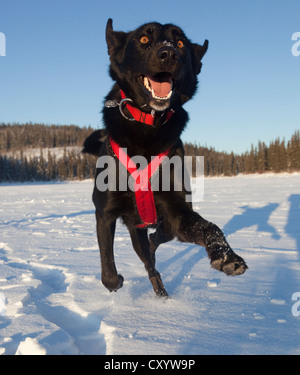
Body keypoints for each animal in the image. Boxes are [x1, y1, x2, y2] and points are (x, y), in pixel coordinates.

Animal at [83, 19, 247, 296]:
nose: (168, 53)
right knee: (149, 260)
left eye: (180, 43)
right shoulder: (104, 212)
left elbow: (210, 227)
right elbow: (108, 270)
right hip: (134, 230)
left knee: (157, 247)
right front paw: (116, 281)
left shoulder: (177, 210)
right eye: (143, 39)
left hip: (161, 226)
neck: (148, 126)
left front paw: (226, 256)